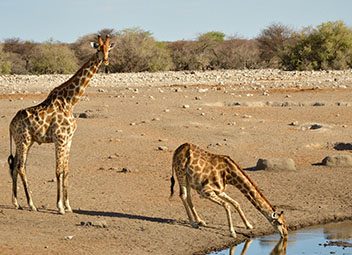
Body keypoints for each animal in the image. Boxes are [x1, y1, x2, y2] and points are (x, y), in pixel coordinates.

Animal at [7, 34, 114, 214]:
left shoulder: (69, 139)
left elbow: (66, 170)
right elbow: (58, 171)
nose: (105, 60)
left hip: (23, 141)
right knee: (21, 166)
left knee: (15, 165)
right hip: (24, 140)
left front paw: (68, 206)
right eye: (98, 48)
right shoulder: (60, 138)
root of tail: (10, 124)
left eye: (108, 49)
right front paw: (60, 207)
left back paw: (16, 203)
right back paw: (31, 204)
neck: (71, 102)